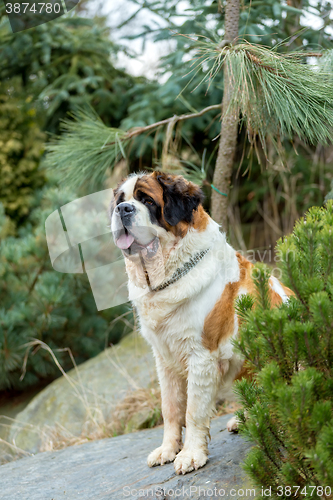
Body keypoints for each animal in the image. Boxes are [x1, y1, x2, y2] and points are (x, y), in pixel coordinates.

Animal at [109, 170, 290, 474]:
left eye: (147, 200)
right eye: (120, 200)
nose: (123, 209)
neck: (167, 276)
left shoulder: (201, 356)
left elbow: (193, 410)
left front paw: (191, 454)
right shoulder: (164, 358)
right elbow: (170, 407)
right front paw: (168, 449)